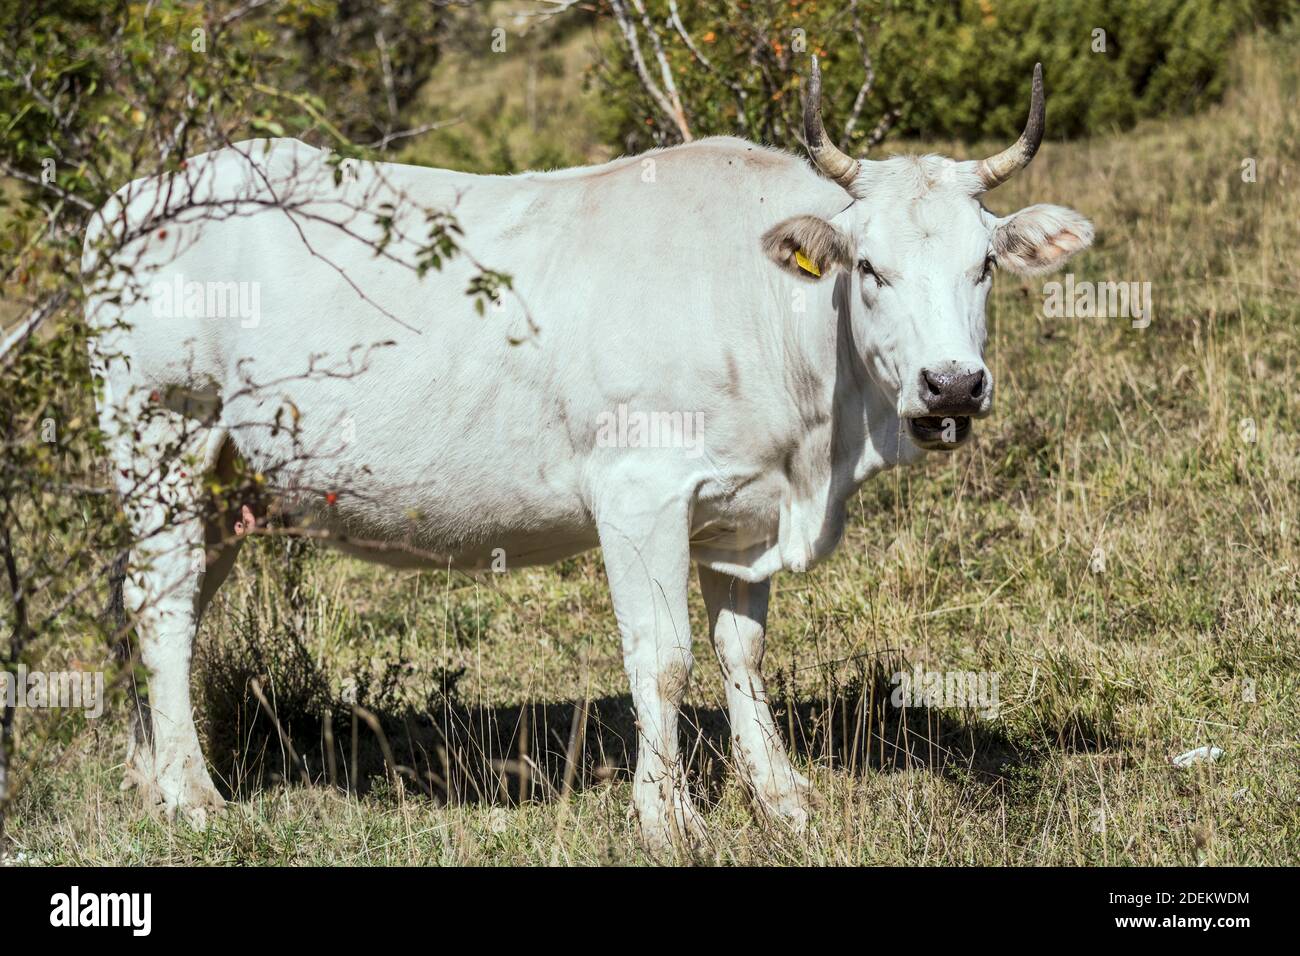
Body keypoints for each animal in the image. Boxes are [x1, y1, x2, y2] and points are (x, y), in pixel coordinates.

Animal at [86, 63, 1092, 848]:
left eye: (984, 266)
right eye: (871, 270)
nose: (952, 384)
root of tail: (137, 199)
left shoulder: (744, 510)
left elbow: (743, 652)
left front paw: (781, 797)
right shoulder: (640, 490)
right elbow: (664, 657)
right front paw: (668, 816)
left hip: (224, 480)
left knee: (166, 602)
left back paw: (149, 775)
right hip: (163, 428)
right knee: (161, 606)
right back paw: (193, 796)